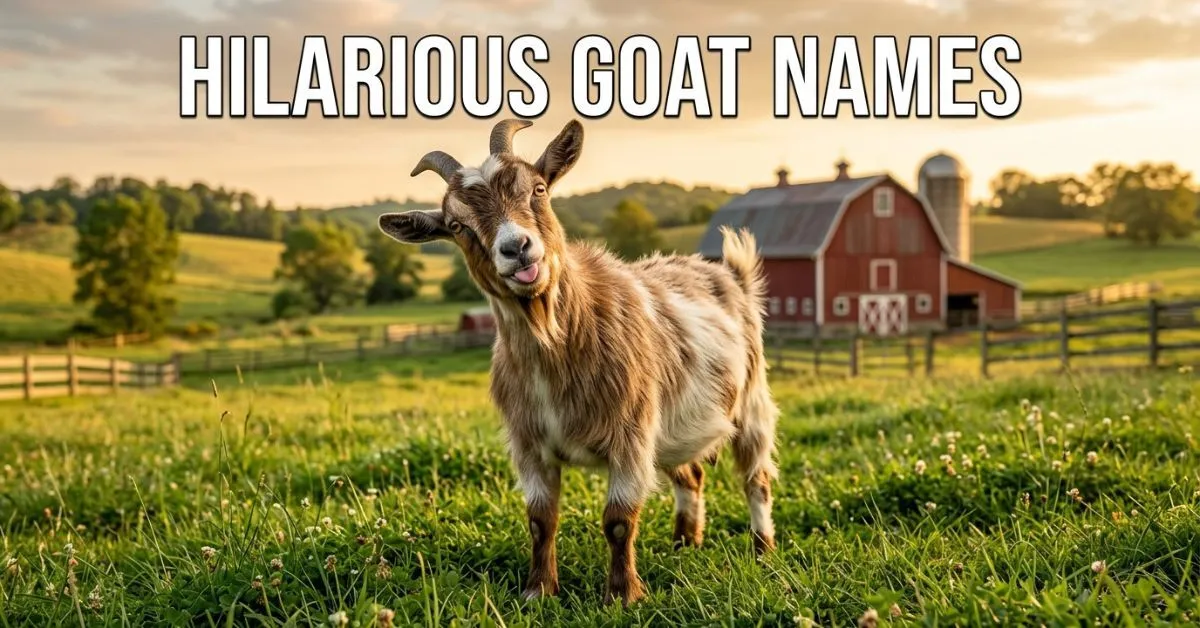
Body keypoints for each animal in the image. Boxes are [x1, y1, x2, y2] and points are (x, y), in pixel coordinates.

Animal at [378, 119, 780, 606]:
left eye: (538, 189)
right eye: (457, 225)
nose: (517, 248)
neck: (556, 344)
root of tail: (729, 272)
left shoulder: (630, 436)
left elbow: (619, 520)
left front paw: (622, 596)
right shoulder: (530, 444)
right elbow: (540, 521)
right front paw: (538, 590)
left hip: (752, 402)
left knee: (756, 479)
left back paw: (762, 551)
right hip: (675, 426)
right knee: (691, 474)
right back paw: (685, 544)